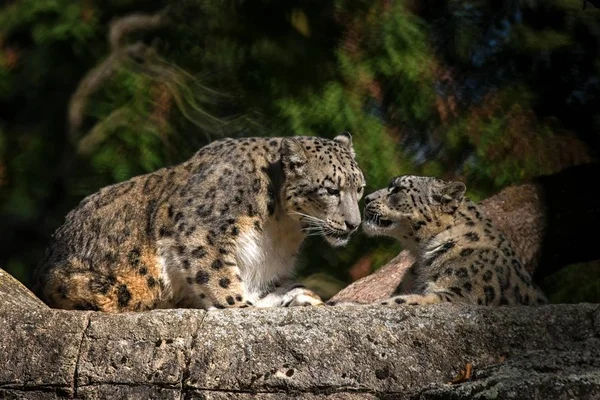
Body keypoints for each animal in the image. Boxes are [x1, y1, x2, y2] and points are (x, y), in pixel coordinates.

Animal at [37, 134, 368, 312]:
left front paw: (298, 296)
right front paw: (243, 306)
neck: (280, 230)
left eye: (360, 188)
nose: (354, 224)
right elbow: (221, 279)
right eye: (331, 189)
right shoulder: (200, 231)